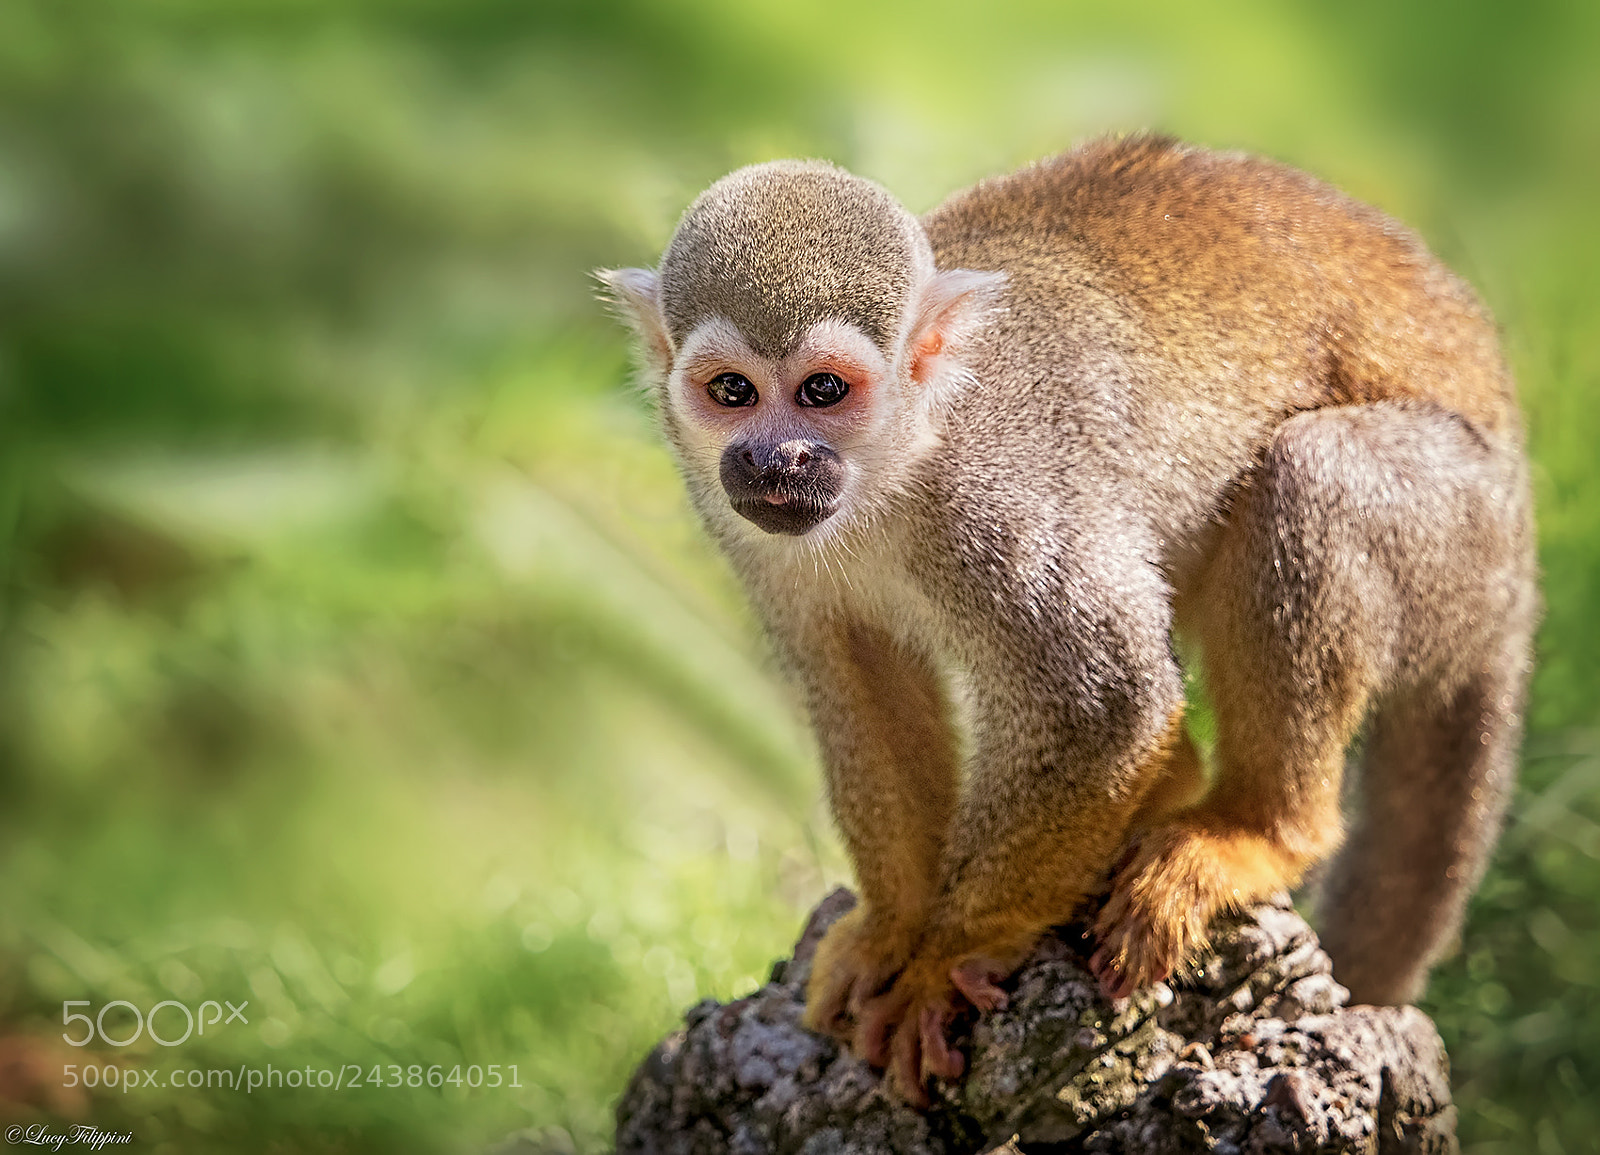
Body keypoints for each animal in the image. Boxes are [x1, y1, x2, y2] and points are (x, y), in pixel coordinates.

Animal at [599, 135, 1537, 1108]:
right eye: (733, 392)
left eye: (822, 389)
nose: (774, 459)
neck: (896, 467)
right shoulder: (742, 525)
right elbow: (858, 682)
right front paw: (894, 924)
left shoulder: (1000, 495)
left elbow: (1106, 704)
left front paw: (944, 960)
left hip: (1459, 532)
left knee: (1312, 474)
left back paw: (1257, 831)